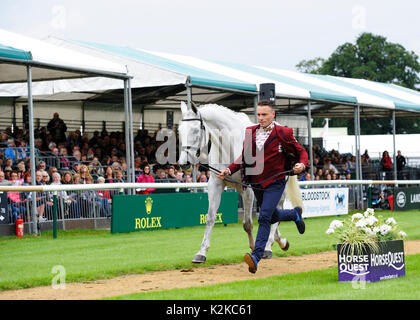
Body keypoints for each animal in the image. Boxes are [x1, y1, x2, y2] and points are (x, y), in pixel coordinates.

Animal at [177, 102, 302, 262]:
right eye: (180, 131)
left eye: (195, 130)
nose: (183, 164)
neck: (228, 146)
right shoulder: (215, 185)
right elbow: (210, 218)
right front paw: (201, 252)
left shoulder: (247, 188)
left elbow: (248, 224)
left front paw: (255, 248)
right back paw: (280, 241)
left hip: (278, 188)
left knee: (276, 211)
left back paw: (268, 246)